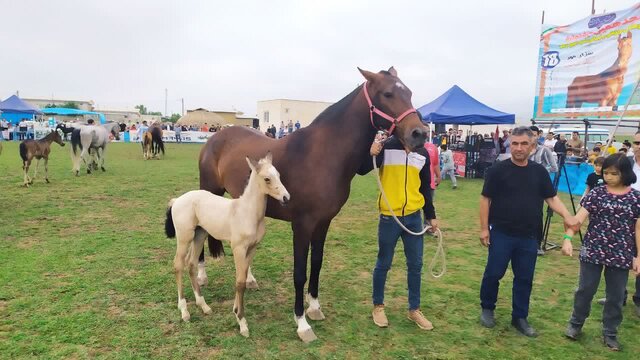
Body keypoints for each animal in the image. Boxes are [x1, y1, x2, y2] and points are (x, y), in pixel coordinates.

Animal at [162, 153, 290, 338]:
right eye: (267, 178)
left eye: (279, 175)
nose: (286, 198)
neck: (247, 213)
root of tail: (177, 200)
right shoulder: (238, 248)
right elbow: (240, 282)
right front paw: (242, 321)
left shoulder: (252, 248)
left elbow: (242, 278)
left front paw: (236, 311)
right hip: (184, 237)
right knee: (178, 265)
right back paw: (184, 311)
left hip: (200, 235)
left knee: (191, 264)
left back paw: (203, 305)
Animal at [198, 67, 428, 340]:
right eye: (388, 93)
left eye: (410, 93)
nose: (419, 134)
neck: (323, 155)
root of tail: (217, 135)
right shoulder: (302, 225)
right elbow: (300, 273)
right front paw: (301, 322)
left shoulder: (323, 222)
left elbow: (316, 264)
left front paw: (315, 308)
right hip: (207, 191)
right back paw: (200, 278)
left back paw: (249, 278)